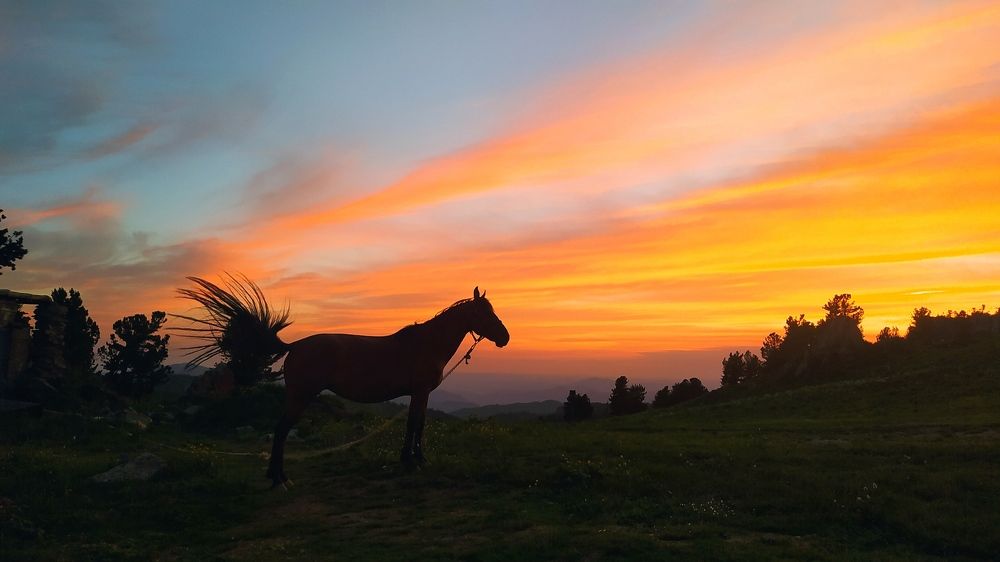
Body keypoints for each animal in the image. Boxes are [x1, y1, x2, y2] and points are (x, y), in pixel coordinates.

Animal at [175, 276, 509, 488]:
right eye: (485, 312)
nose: (505, 338)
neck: (427, 343)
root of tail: (294, 345)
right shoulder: (419, 392)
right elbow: (414, 425)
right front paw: (412, 461)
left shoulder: (421, 394)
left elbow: (419, 424)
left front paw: (417, 459)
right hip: (300, 397)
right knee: (281, 431)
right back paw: (280, 479)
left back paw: (276, 477)